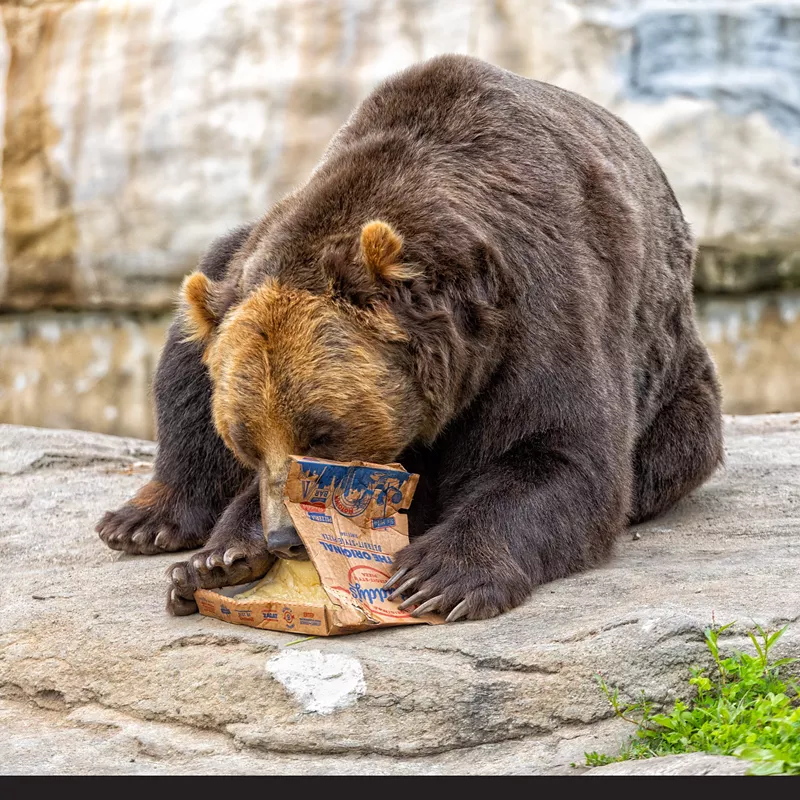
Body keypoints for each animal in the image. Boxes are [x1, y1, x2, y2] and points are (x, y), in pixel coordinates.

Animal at [97, 54, 720, 620]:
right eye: (245, 442)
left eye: (323, 433)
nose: (284, 539)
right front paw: (218, 559)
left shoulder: (546, 303)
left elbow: (558, 451)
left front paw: (438, 575)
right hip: (224, 274)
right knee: (186, 353)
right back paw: (145, 521)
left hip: (674, 387)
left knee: (677, 444)